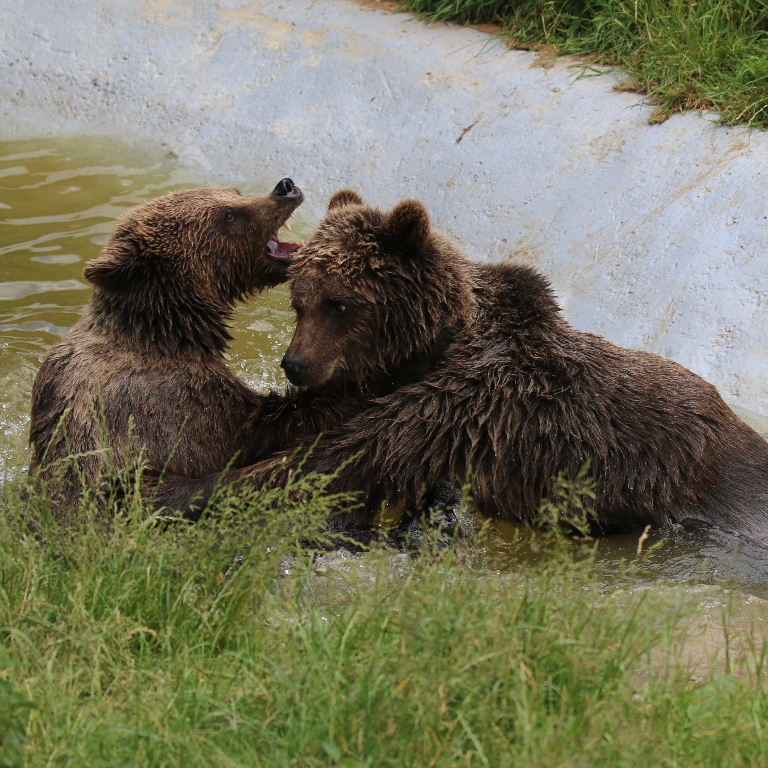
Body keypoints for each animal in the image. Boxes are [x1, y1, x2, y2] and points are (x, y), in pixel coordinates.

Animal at [28, 179, 316, 510]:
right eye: (229, 215)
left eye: (235, 194)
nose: (285, 187)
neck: (171, 332)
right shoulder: (176, 402)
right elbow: (258, 426)